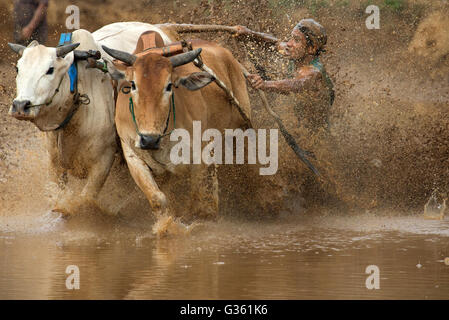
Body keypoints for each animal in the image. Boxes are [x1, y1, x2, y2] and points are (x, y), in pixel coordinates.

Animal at [10, 21, 172, 212]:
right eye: (18, 68)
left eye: (50, 70)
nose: (20, 106)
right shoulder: (53, 162)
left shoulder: (104, 160)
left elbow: (86, 199)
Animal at [102, 39, 252, 235]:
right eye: (133, 84)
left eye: (169, 86)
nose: (149, 140)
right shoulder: (132, 153)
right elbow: (157, 198)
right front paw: (165, 226)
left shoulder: (201, 156)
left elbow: (202, 200)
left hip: (242, 128)